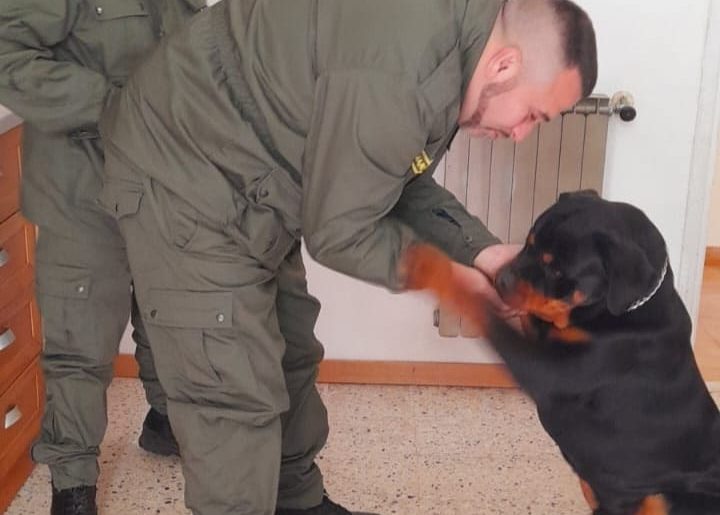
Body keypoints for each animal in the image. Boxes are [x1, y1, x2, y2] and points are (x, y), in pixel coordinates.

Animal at [404, 190, 720, 515]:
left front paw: (433, 265)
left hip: (667, 496)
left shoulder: (550, 370)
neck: (626, 311)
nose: (501, 279)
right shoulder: (543, 334)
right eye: (528, 243)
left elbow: (482, 306)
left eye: (556, 270)